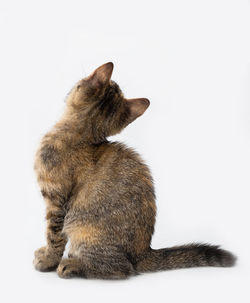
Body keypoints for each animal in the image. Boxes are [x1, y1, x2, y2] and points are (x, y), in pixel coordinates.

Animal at [33, 62, 236, 280]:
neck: (79, 135)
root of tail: (144, 251)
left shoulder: (56, 200)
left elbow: (54, 235)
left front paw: (48, 259)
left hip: (82, 227)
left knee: (121, 269)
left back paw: (72, 265)